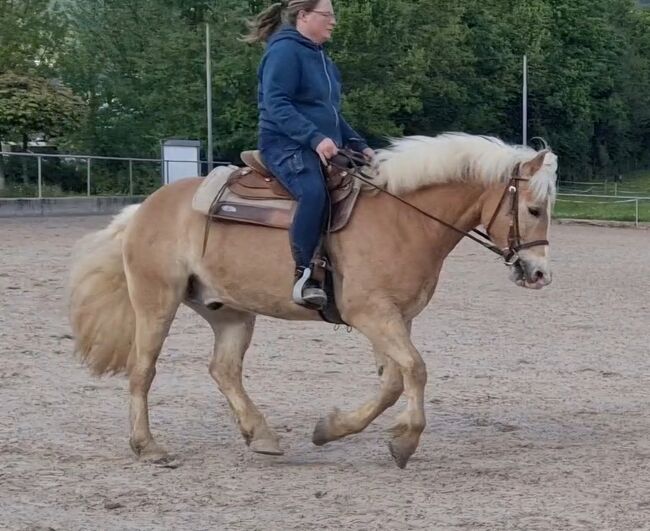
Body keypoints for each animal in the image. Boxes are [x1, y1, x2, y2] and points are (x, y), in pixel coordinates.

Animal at [68, 133, 560, 470]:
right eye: (533, 209)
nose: (538, 273)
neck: (402, 218)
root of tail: (146, 208)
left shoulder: (395, 319)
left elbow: (393, 381)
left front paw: (331, 430)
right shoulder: (371, 314)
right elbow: (415, 370)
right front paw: (404, 442)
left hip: (230, 312)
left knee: (223, 370)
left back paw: (261, 435)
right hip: (156, 302)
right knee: (142, 370)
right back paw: (147, 446)